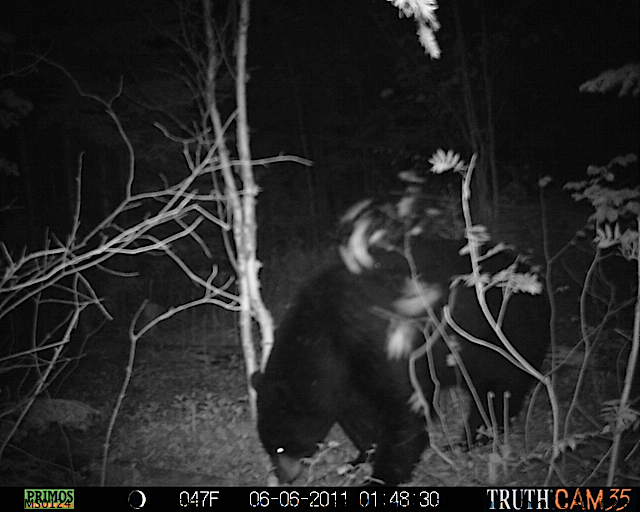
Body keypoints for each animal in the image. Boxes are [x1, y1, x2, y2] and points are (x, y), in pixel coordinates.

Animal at [252, 211, 552, 484]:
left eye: (281, 446)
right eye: (269, 446)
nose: (282, 477)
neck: (326, 336)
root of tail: (534, 276)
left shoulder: (382, 343)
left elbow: (405, 408)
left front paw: (381, 475)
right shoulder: (347, 376)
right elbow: (358, 414)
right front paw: (359, 458)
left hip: (507, 337)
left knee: (498, 390)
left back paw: (470, 439)